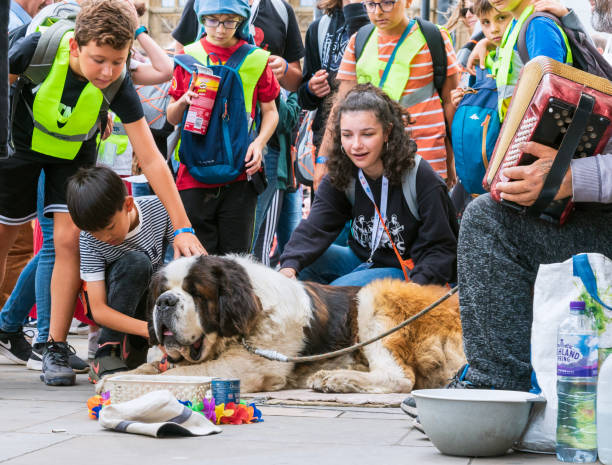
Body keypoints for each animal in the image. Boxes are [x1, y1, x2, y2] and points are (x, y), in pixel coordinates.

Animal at [98, 252, 466, 394]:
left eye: (196, 293)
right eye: (161, 292)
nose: (165, 303)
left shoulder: (245, 366)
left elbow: (186, 374)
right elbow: (154, 367)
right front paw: (119, 377)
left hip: (373, 296)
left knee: (399, 378)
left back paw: (334, 378)